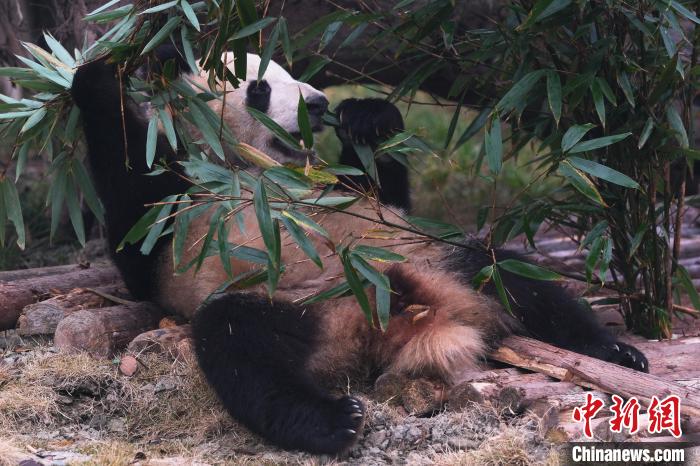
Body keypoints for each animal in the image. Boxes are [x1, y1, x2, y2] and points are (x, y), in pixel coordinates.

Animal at [69, 52, 644, 456]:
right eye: (260, 87)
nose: (320, 104)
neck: (246, 164)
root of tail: (393, 314)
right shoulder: (182, 210)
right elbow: (138, 220)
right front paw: (98, 76)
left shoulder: (353, 199)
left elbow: (379, 190)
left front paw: (366, 116)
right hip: (296, 304)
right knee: (237, 342)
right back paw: (330, 423)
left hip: (427, 257)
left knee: (505, 273)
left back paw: (613, 352)